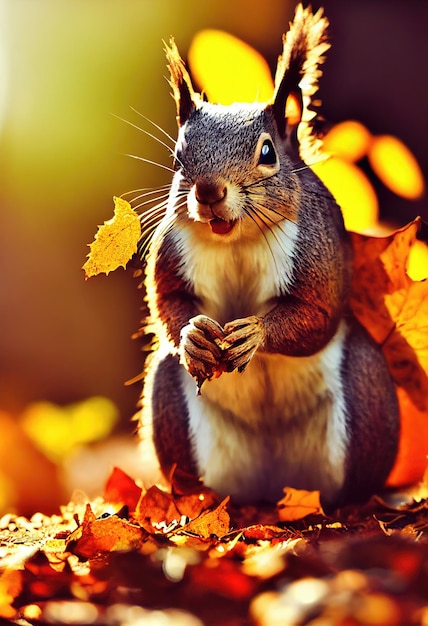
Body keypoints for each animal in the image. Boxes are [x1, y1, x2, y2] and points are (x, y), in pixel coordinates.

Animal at [138, 4, 402, 508]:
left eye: (267, 152)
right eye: (179, 156)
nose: (208, 192)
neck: (236, 239)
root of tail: (275, 484)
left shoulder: (317, 251)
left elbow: (316, 315)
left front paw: (254, 334)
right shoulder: (171, 248)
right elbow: (167, 302)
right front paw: (196, 334)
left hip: (365, 400)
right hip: (172, 407)